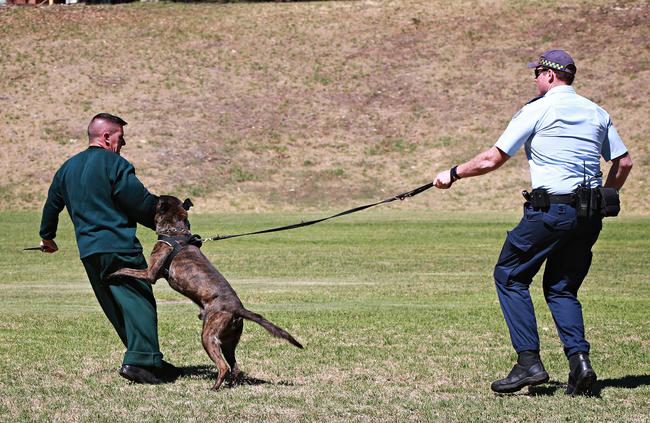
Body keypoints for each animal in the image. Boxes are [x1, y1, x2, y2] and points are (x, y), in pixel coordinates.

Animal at [109, 195, 304, 390]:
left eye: (158, 200)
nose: (151, 197)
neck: (176, 232)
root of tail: (238, 309)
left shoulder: (150, 274)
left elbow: (126, 269)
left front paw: (113, 274)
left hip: (208, 336)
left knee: (223, 366)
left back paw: (214, 388)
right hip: (228, 342)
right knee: (235, 367)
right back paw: (229, 385)